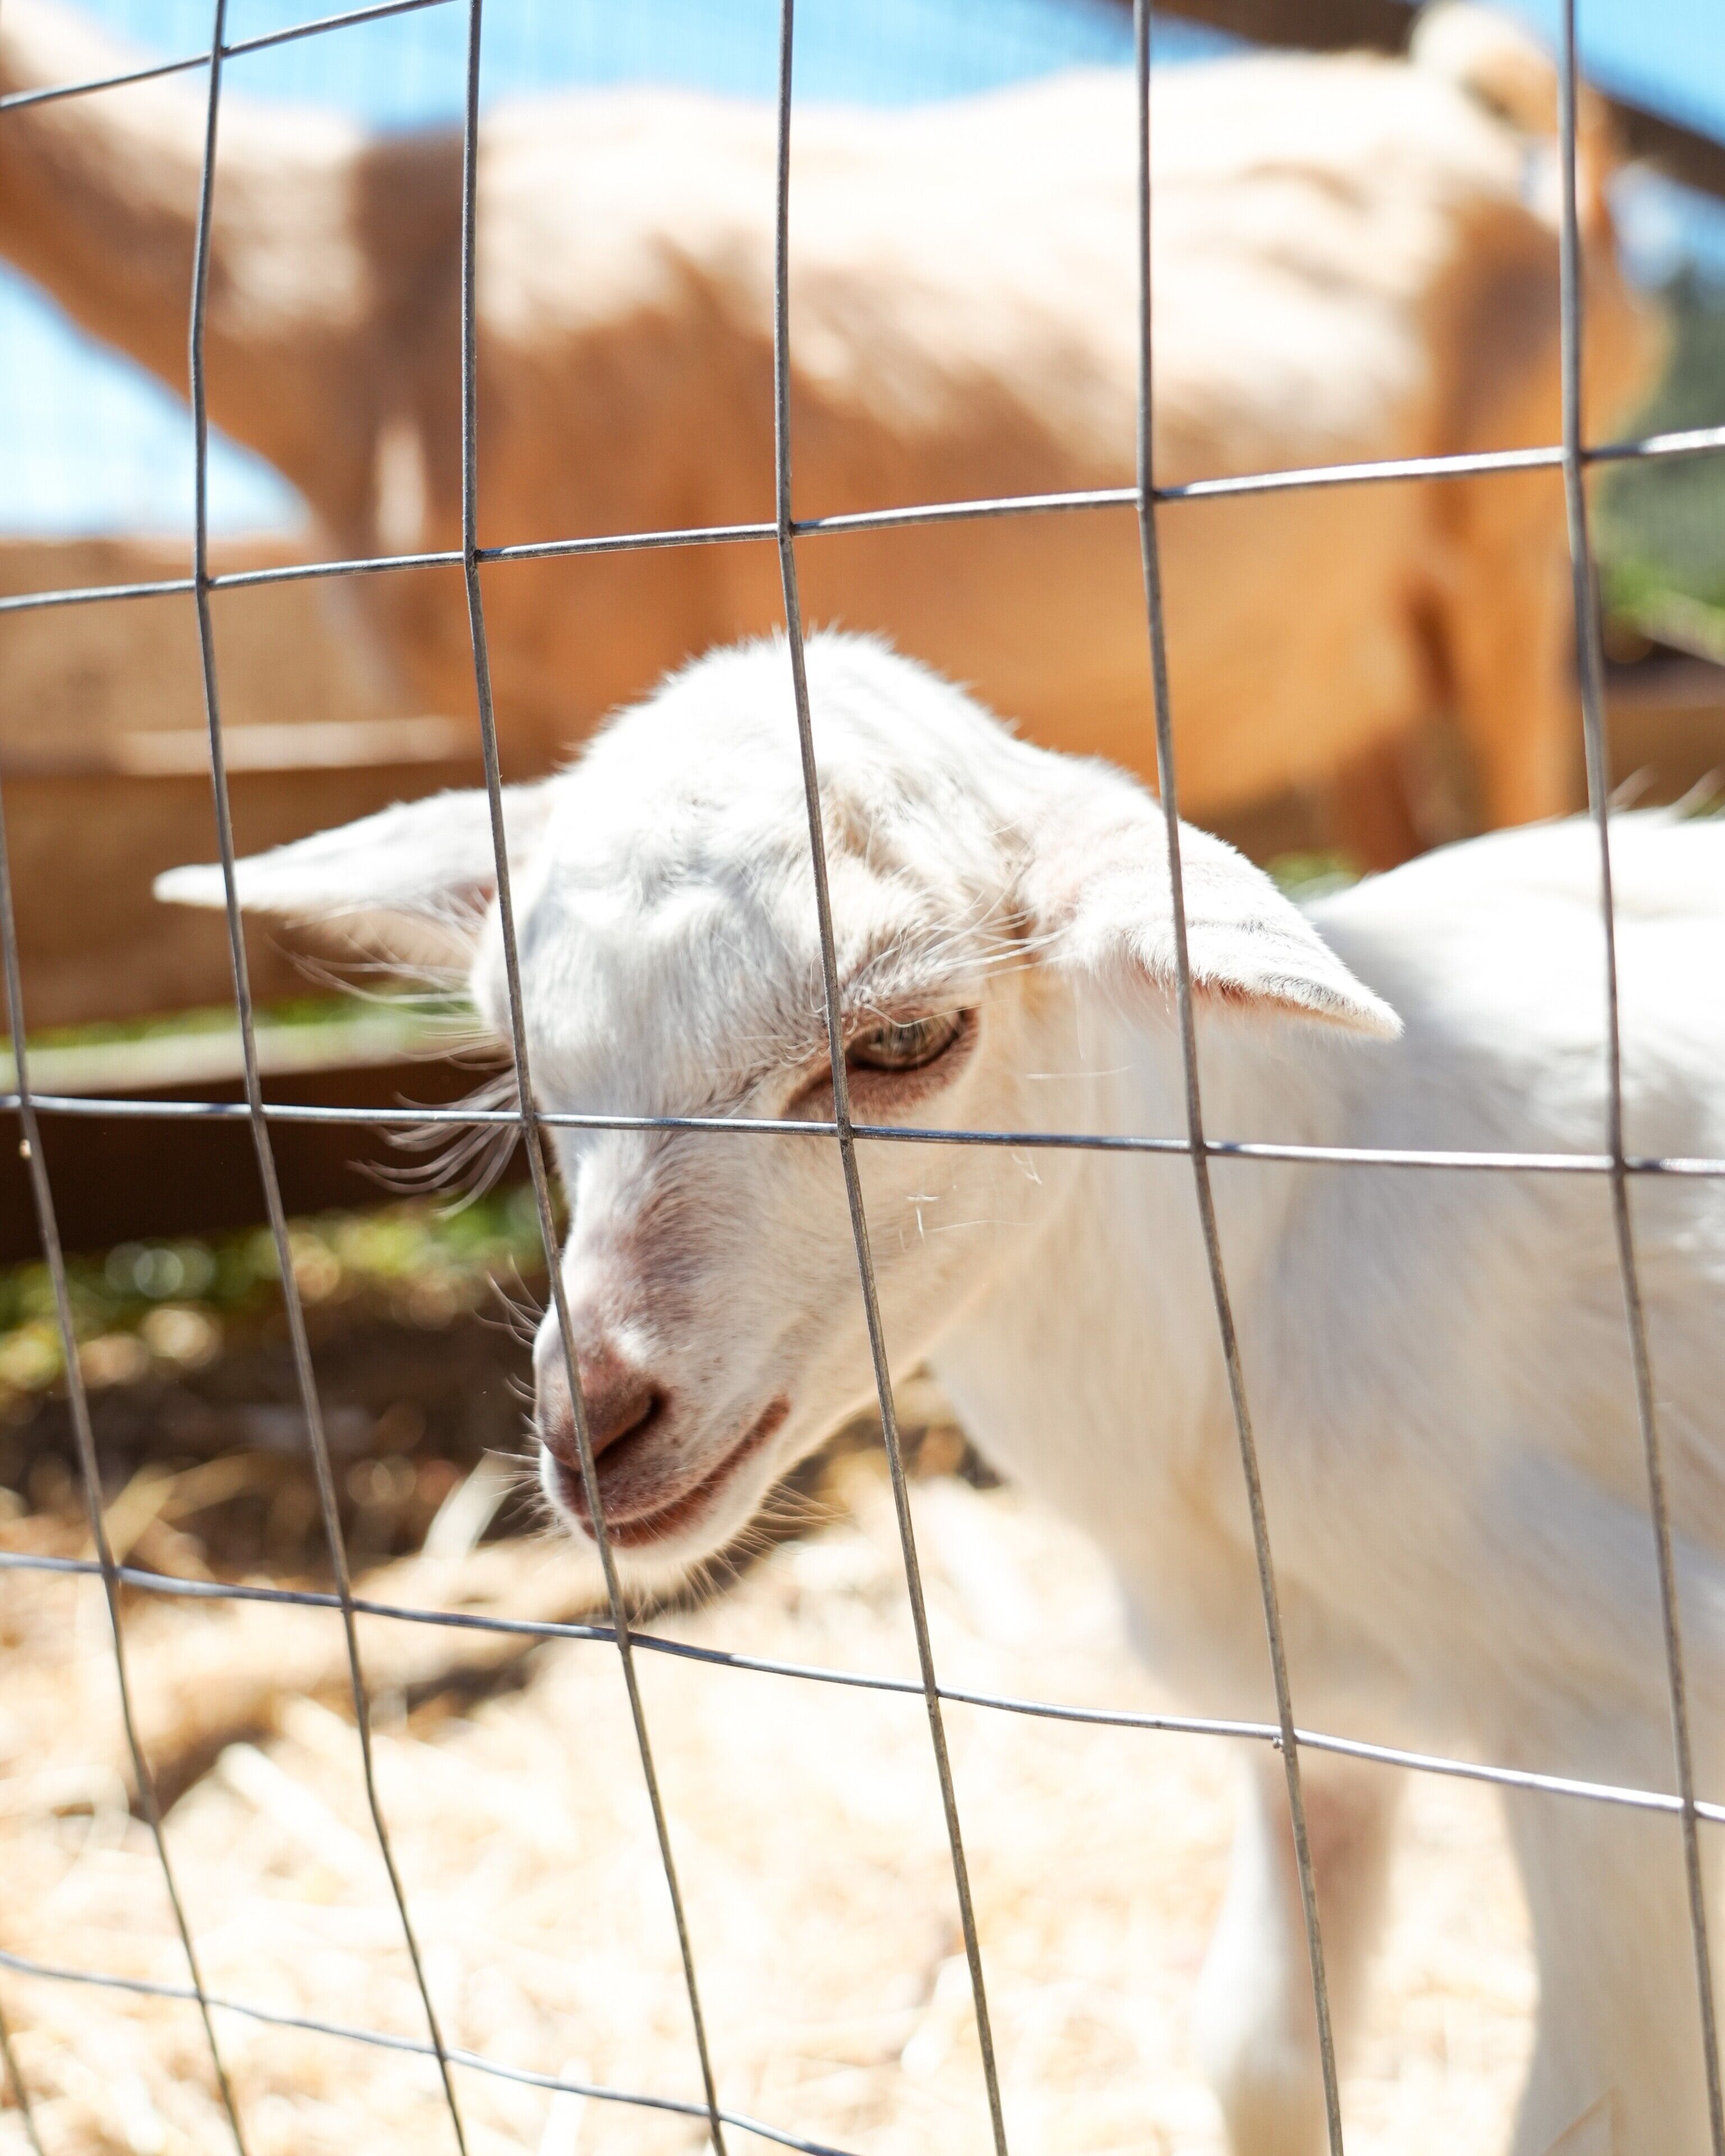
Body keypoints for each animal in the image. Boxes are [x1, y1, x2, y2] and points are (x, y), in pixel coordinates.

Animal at [161, 631, 1725, 2155]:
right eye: (527, 1051)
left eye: (905, 1041)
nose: (592, 1430)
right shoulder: (1309, 1717)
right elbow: (1261, 2062)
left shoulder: (1618, 1740)